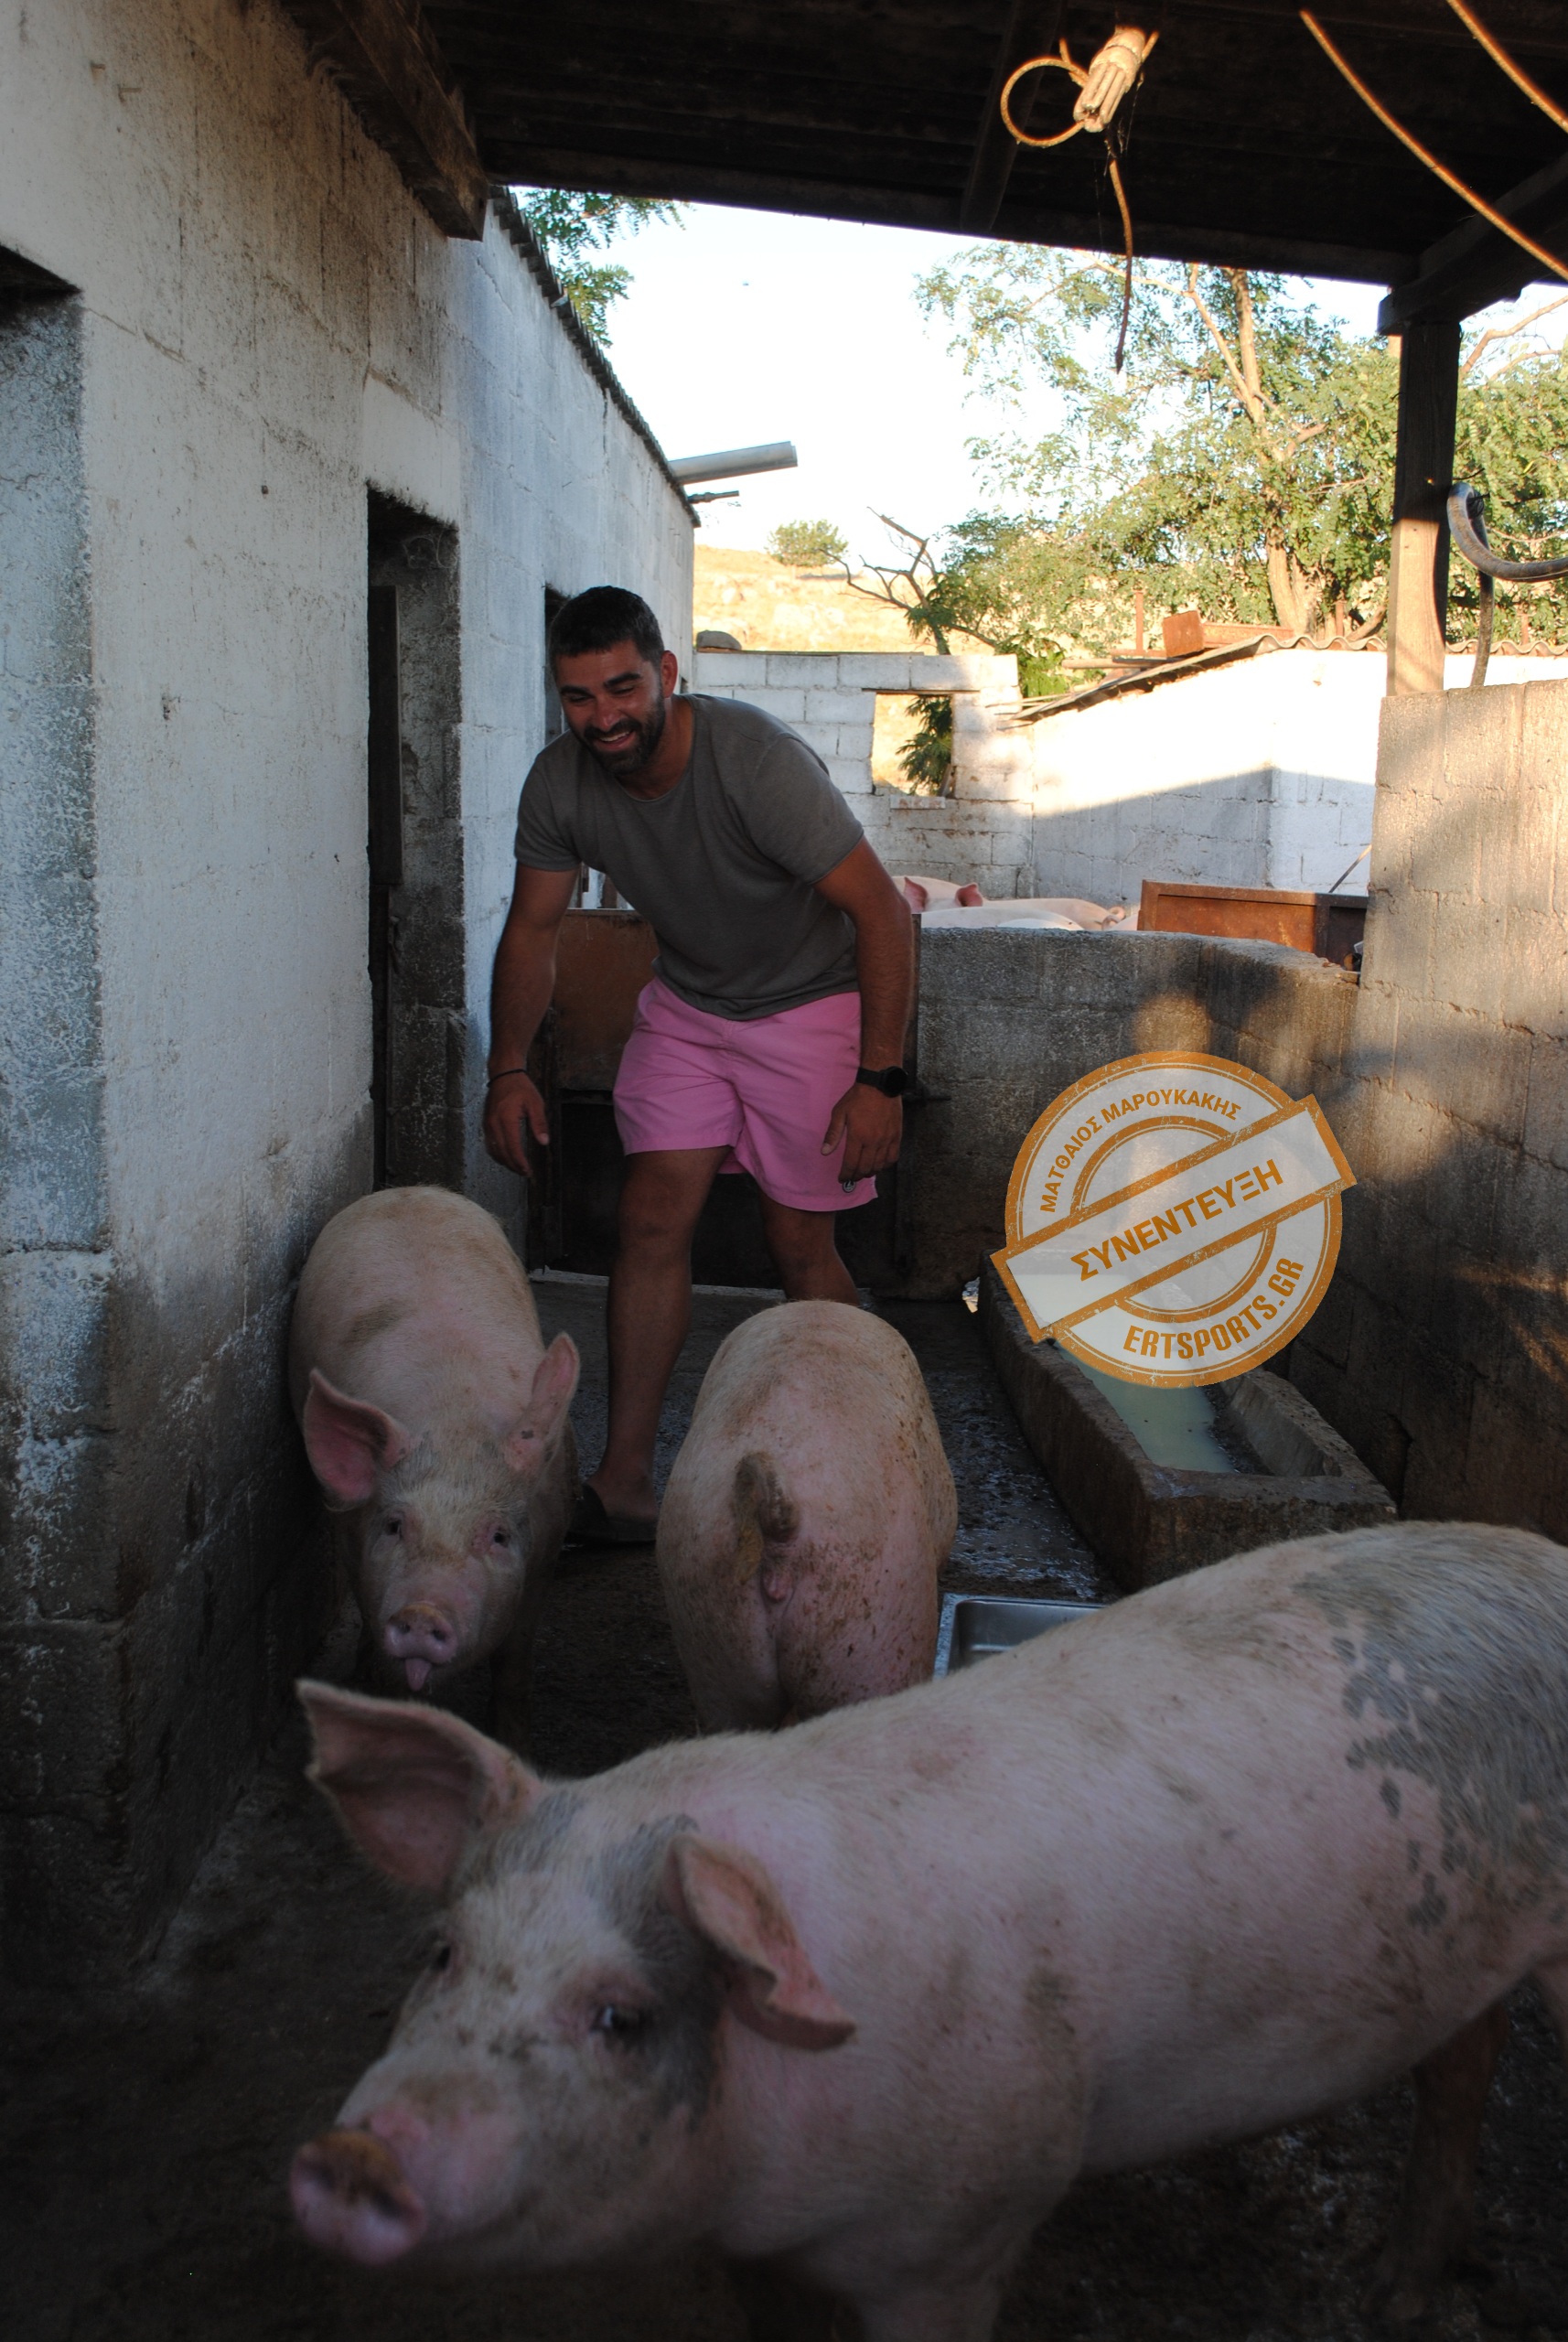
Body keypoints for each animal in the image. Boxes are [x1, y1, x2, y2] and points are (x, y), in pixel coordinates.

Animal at [286, 1189, 577, 1742]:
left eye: (498, 1535)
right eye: (395, 1526)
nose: (422, 1612)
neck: (455, 1422)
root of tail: (409, 1190)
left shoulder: (546, 1555)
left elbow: (513, 1668)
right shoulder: (354, 1542)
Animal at [288, 1527, 1568, 2332]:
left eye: (619, 2014)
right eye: (442, 1953)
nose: (353, 2154)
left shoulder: (967, 2221)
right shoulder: (754, 2245)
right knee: (1464, 2065)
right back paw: (1395, 2291)